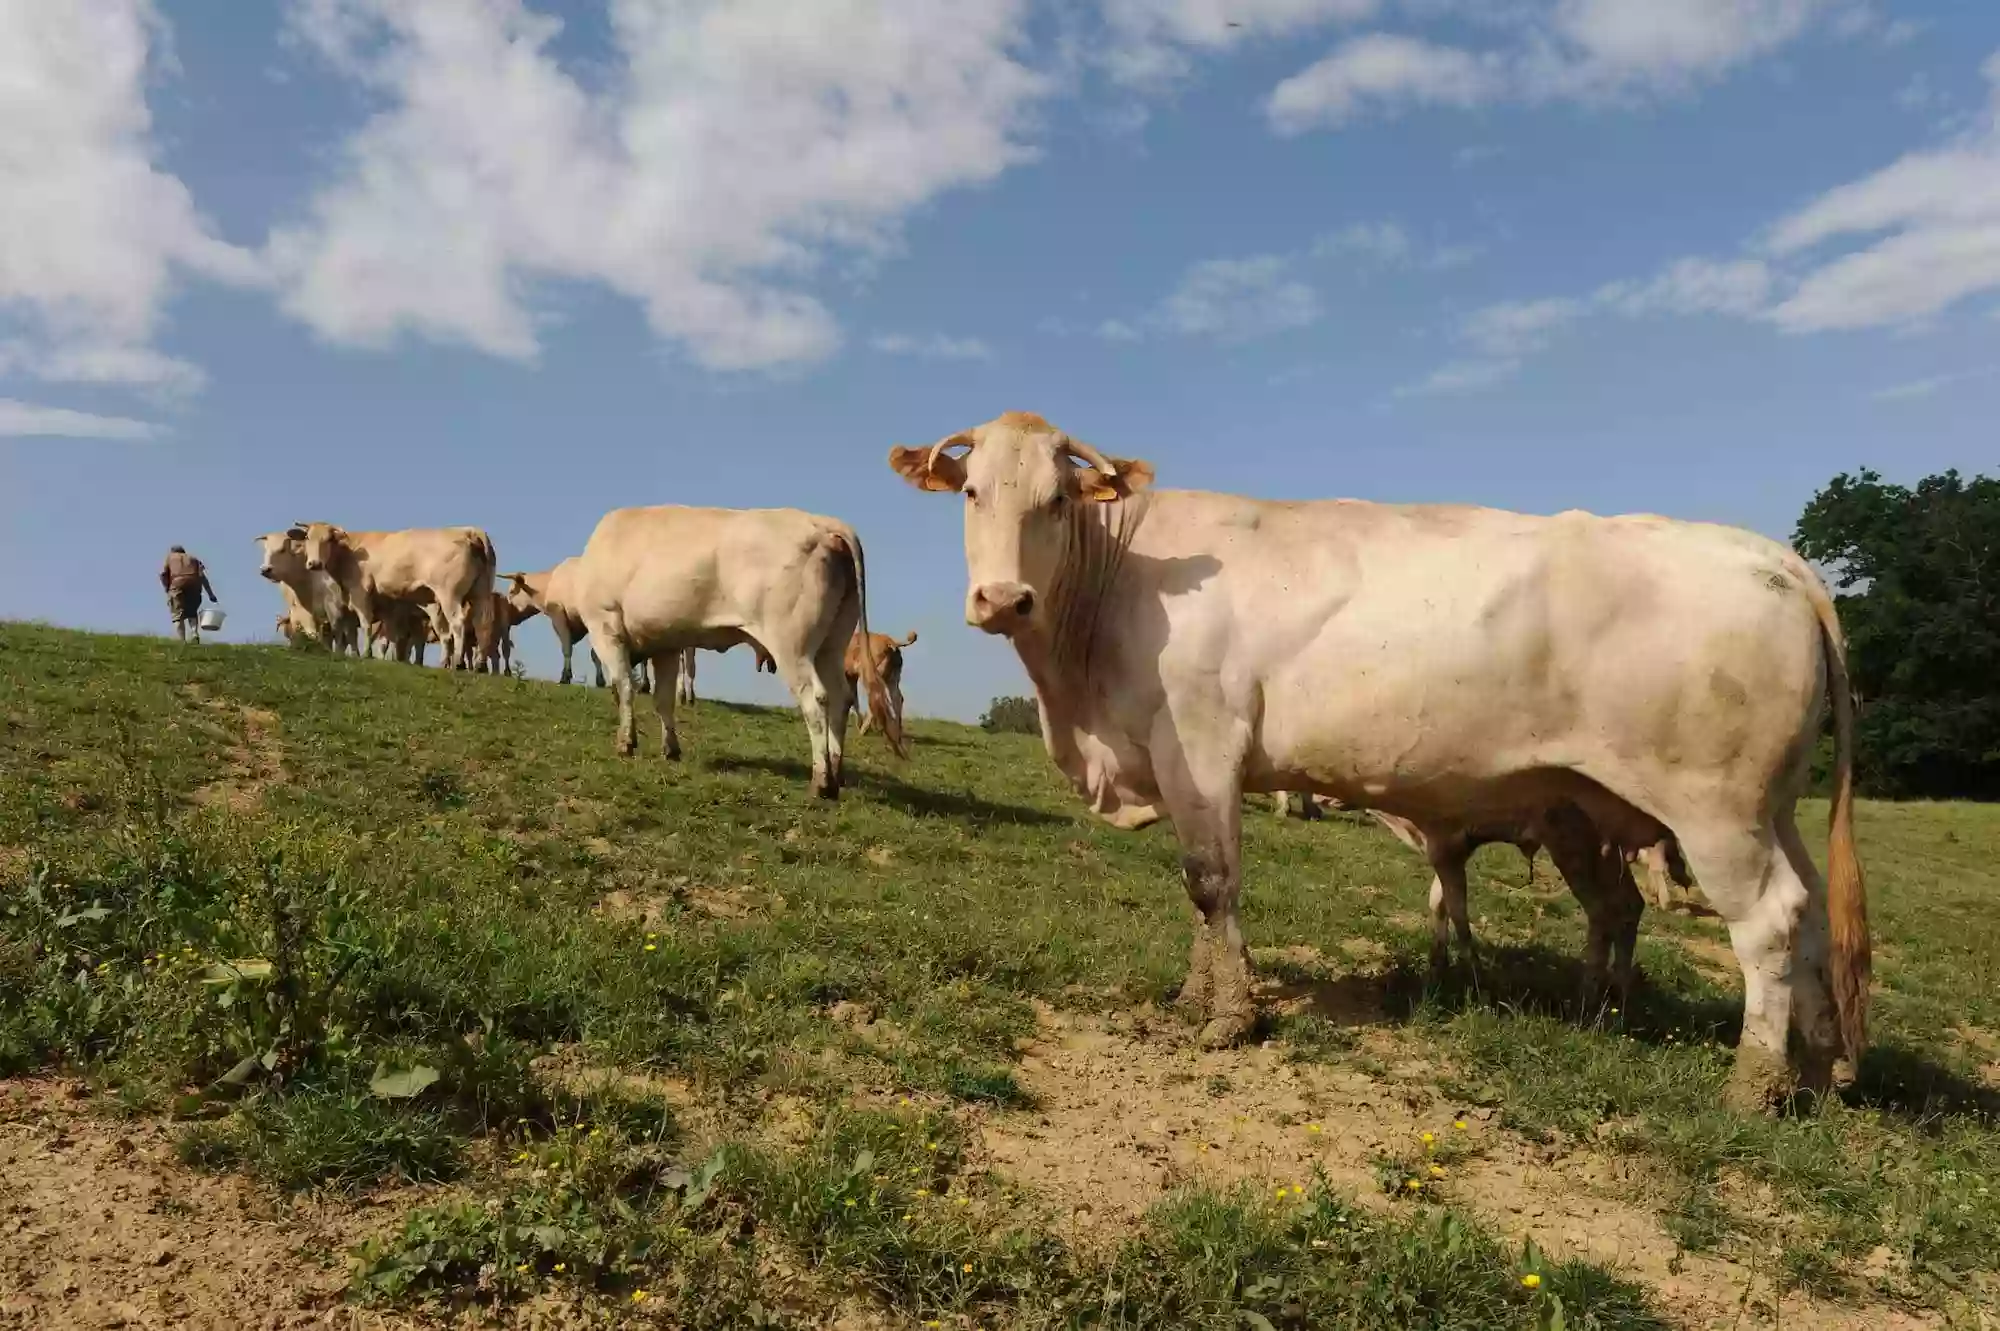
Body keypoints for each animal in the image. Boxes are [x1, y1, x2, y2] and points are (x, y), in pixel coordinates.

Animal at [568, 503, 904, 791]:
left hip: (792, 646)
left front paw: (626, 742)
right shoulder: (666, 643)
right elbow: (663, 699)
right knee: (841, 698)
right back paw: (836, 773)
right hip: (831, 645)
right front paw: (670, 749)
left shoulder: (606, 625)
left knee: (816, 699)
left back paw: (821, 781)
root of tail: (824, 523)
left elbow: (624, 685)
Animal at [892, 409, 1856, 1103]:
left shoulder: (1200, 743)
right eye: (971, 491)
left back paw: (1751, 1084)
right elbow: (1198, 890)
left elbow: (1211, 881)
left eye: (1056, 499)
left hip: (1716, 808)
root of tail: (1767, 553)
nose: (1003, 598)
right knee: (1809, 911)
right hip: (1757, 808)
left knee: (1769, 921)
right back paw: (1815, 1071)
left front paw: (1228, 1017)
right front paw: (1197, 997)